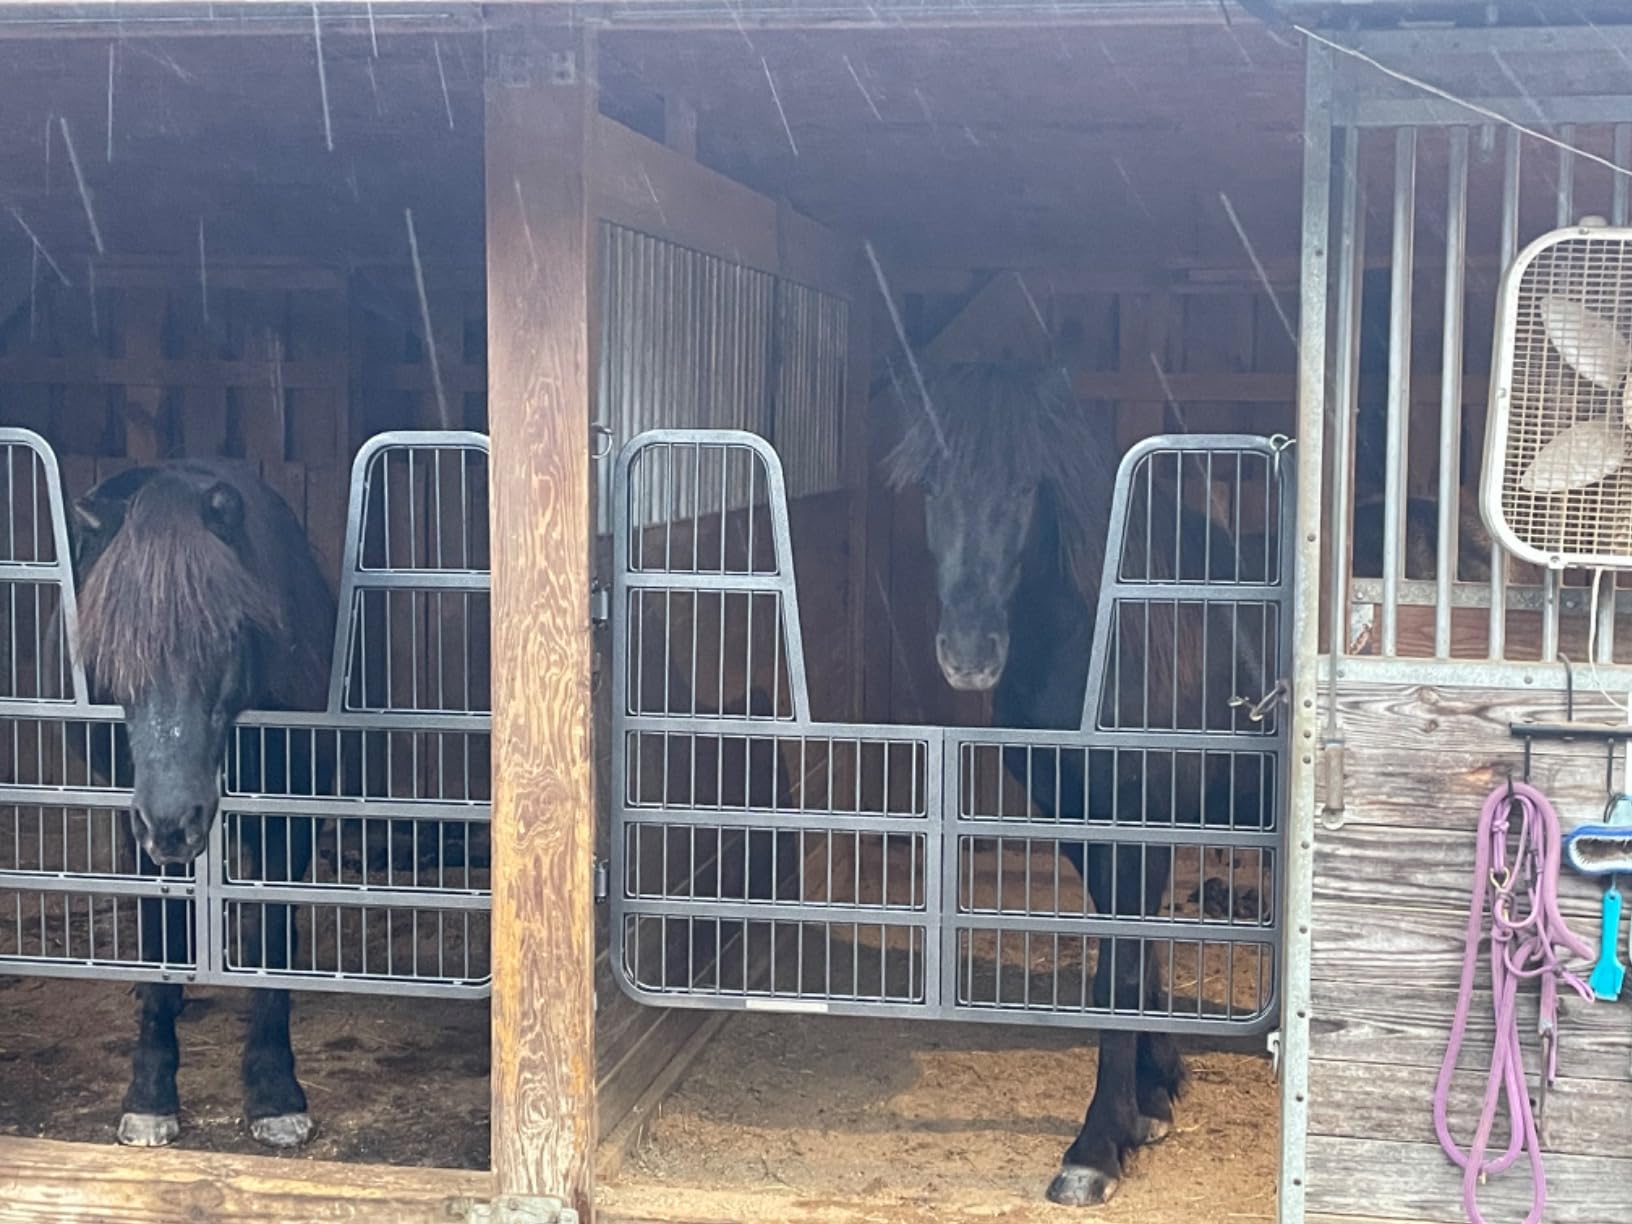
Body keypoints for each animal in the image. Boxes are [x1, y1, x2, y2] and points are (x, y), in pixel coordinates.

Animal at [65, 459, 335, 1149]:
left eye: (229, 633)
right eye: (106, 650)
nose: (173, 821)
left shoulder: (289, 816)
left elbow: (273, 940)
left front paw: (274, 1092)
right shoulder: (138, 826)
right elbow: (159, 934)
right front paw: (151, 1094)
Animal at [886, 352, 1277, 1206]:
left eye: (1026, 486)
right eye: (930, 486)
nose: (970, 652)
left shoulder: (1143, 829)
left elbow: (1125, 973)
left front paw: (1097, 1148)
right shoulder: (1082, 827)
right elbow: (1123, 966)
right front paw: (1153, 1098)